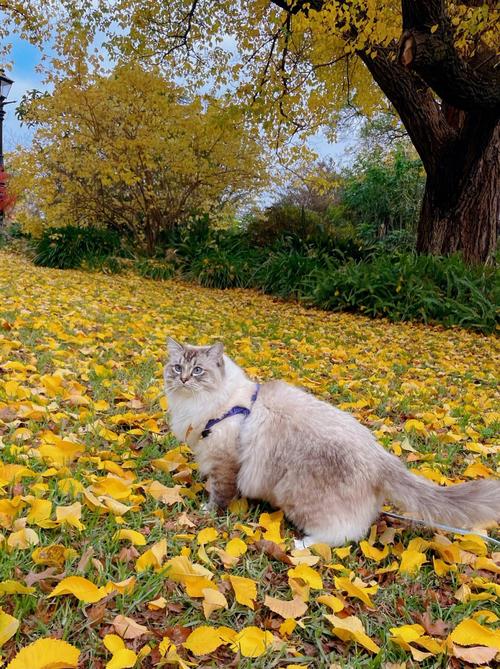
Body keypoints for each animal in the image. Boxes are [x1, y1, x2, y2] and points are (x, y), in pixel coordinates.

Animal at [164, 336, 500, 544]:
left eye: (198, 371)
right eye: (177, 367)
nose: (183, 379)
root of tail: (380, 456)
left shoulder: (224, 462)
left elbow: (219, 494)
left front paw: (207, 512)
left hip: (299, 496)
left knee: (343, 536)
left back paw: (302, 546)